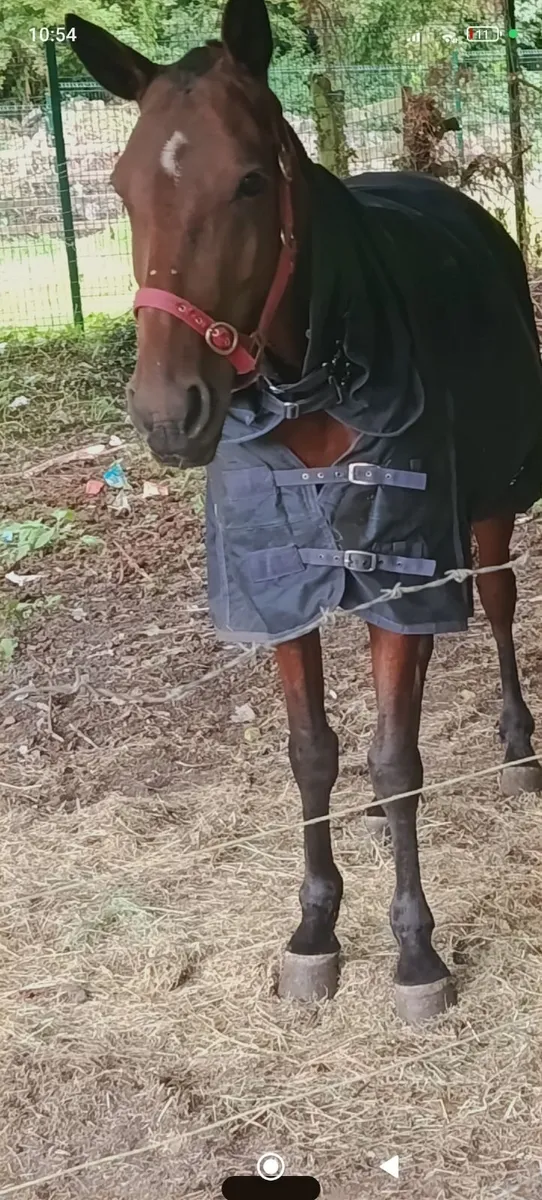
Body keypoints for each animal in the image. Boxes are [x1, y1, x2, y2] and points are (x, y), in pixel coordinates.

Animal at [67, 0, 542, 1024]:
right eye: (123, 188)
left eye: (249, 181)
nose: (168, 414)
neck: (317, 378)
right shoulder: (278, 586)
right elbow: (314, 751)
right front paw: (316, 929)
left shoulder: (405, 574)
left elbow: (397, 761)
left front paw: (415, 952)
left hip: (488, 511)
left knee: (497, 604)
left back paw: (520, 743)